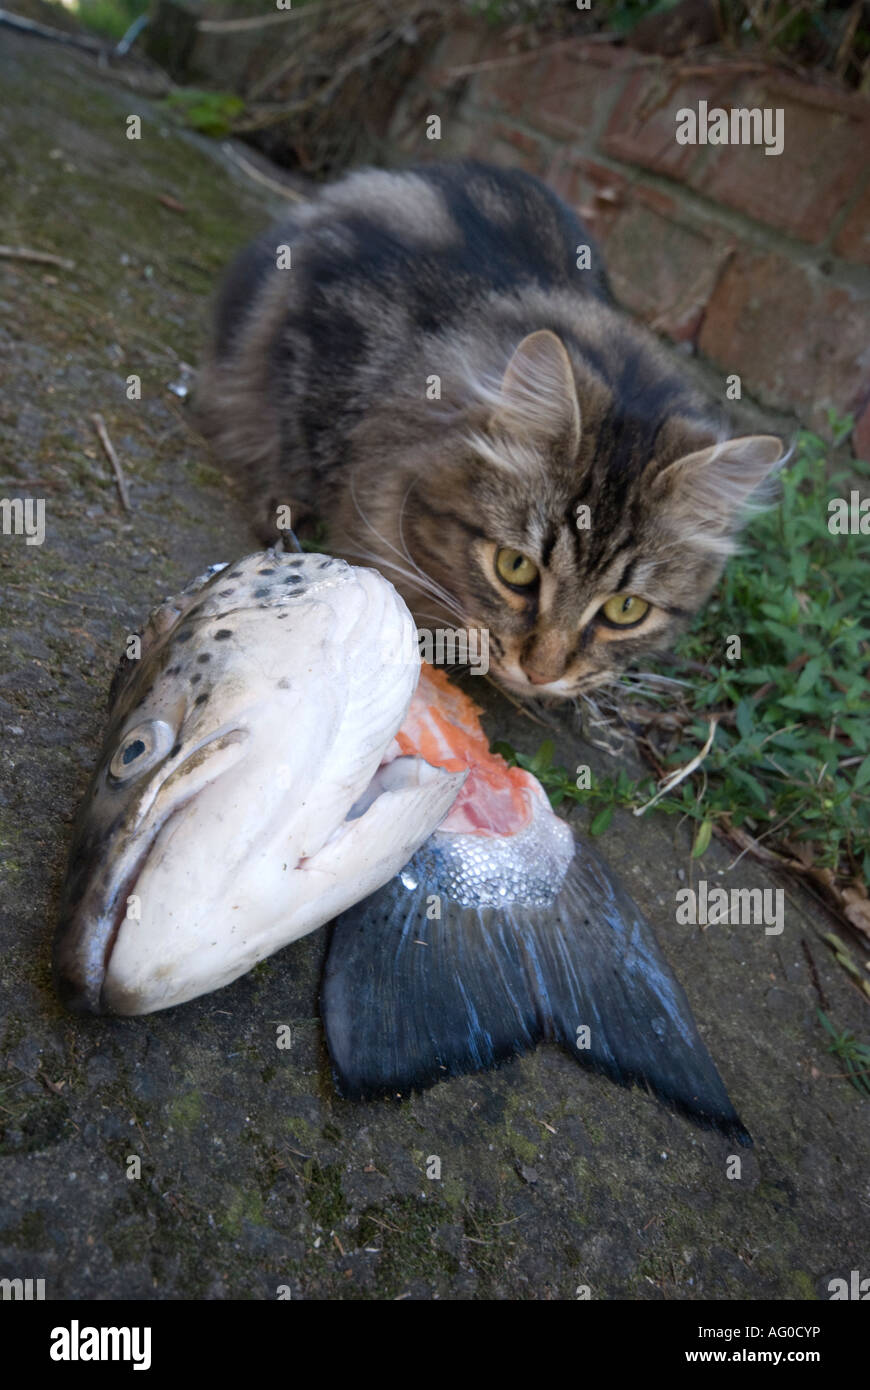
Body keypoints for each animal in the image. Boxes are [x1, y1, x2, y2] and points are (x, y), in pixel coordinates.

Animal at [194, 161, 778, 700]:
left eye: (625, 609)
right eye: (514, 567)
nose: (541, 674)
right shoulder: (317, 335)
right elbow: (296, 438)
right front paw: (291, 519)